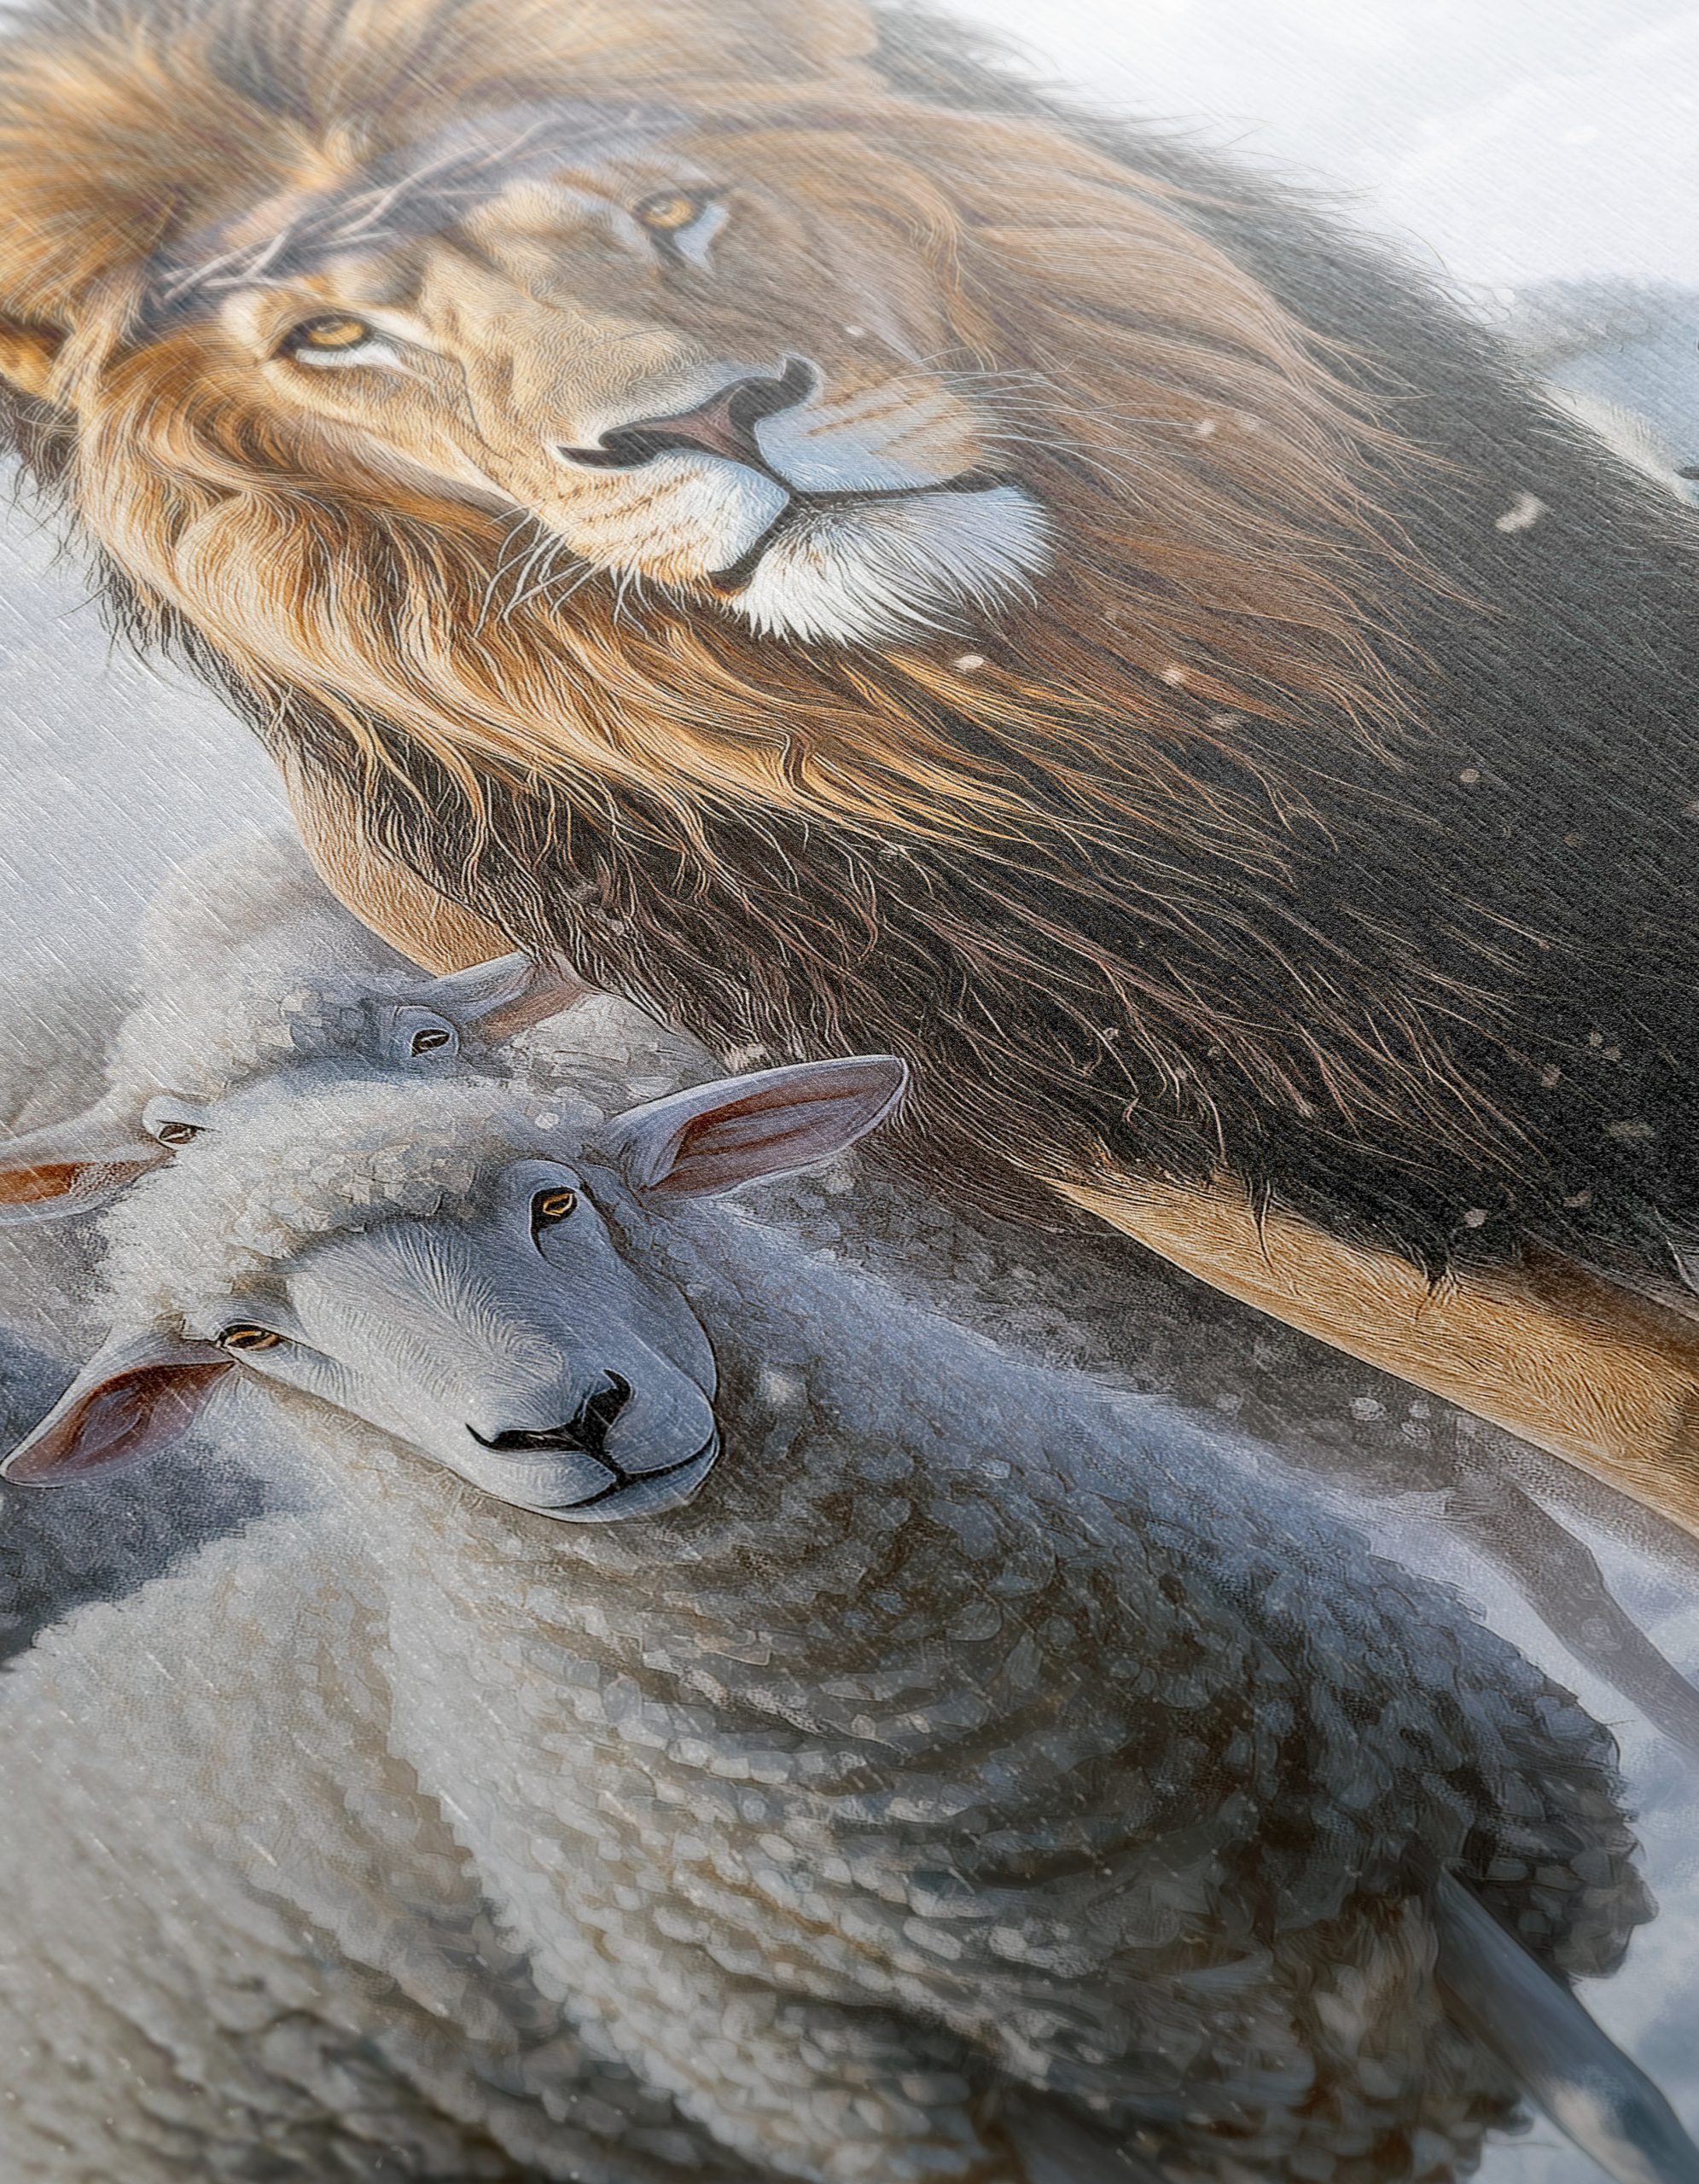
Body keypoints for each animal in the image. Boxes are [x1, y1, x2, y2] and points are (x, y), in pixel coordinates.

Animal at [5, 1040, 1696, 2184]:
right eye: (248, 1342)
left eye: (557, 1198)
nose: (571, 1421)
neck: (988, 1763)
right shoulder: (920, 2107)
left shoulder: (1416, 1827)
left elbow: (1628, 2118)